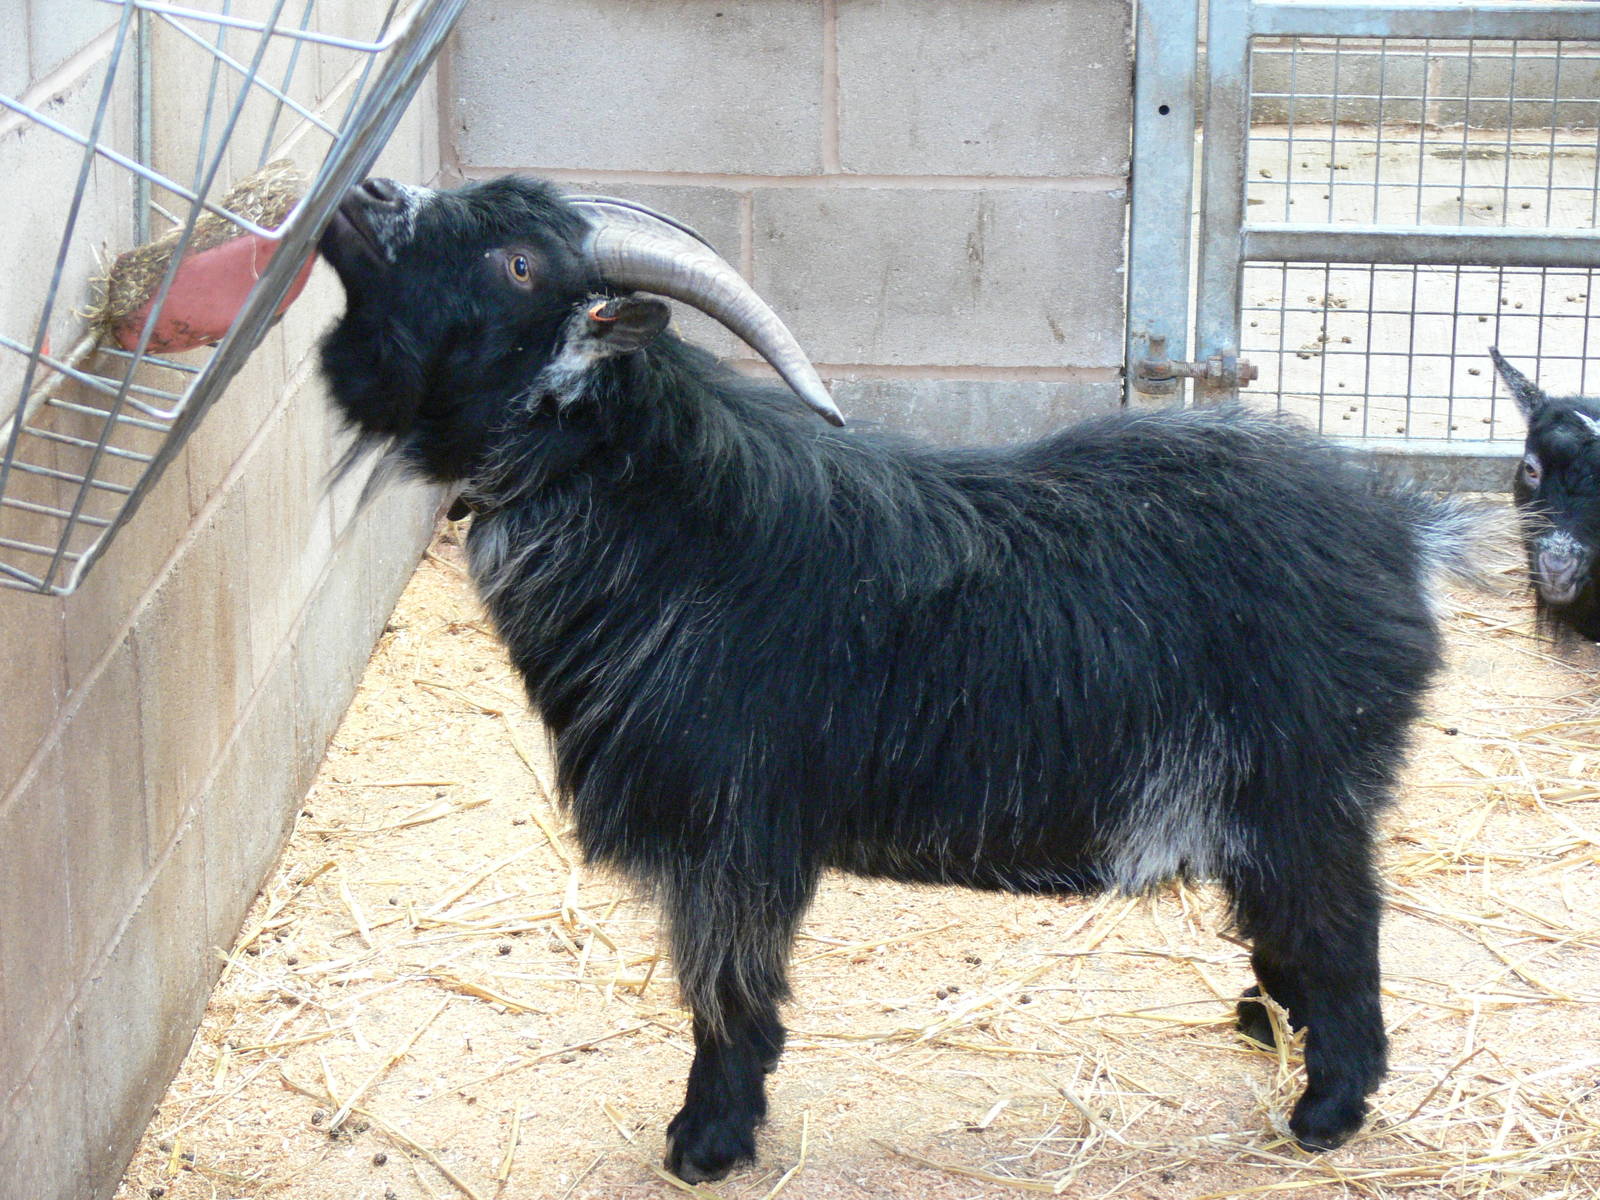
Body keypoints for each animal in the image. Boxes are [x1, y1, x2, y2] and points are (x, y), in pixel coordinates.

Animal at [317, 174, 1480, 1182]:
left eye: (518, 262)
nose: (367, 193)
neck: (663, 509)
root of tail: (1404, 536)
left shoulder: (730, 832)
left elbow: (726, 993)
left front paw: (707, 1141)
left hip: (1302, 793)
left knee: (1345, 930)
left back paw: (1326, 1111)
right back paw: (1266, 1022)